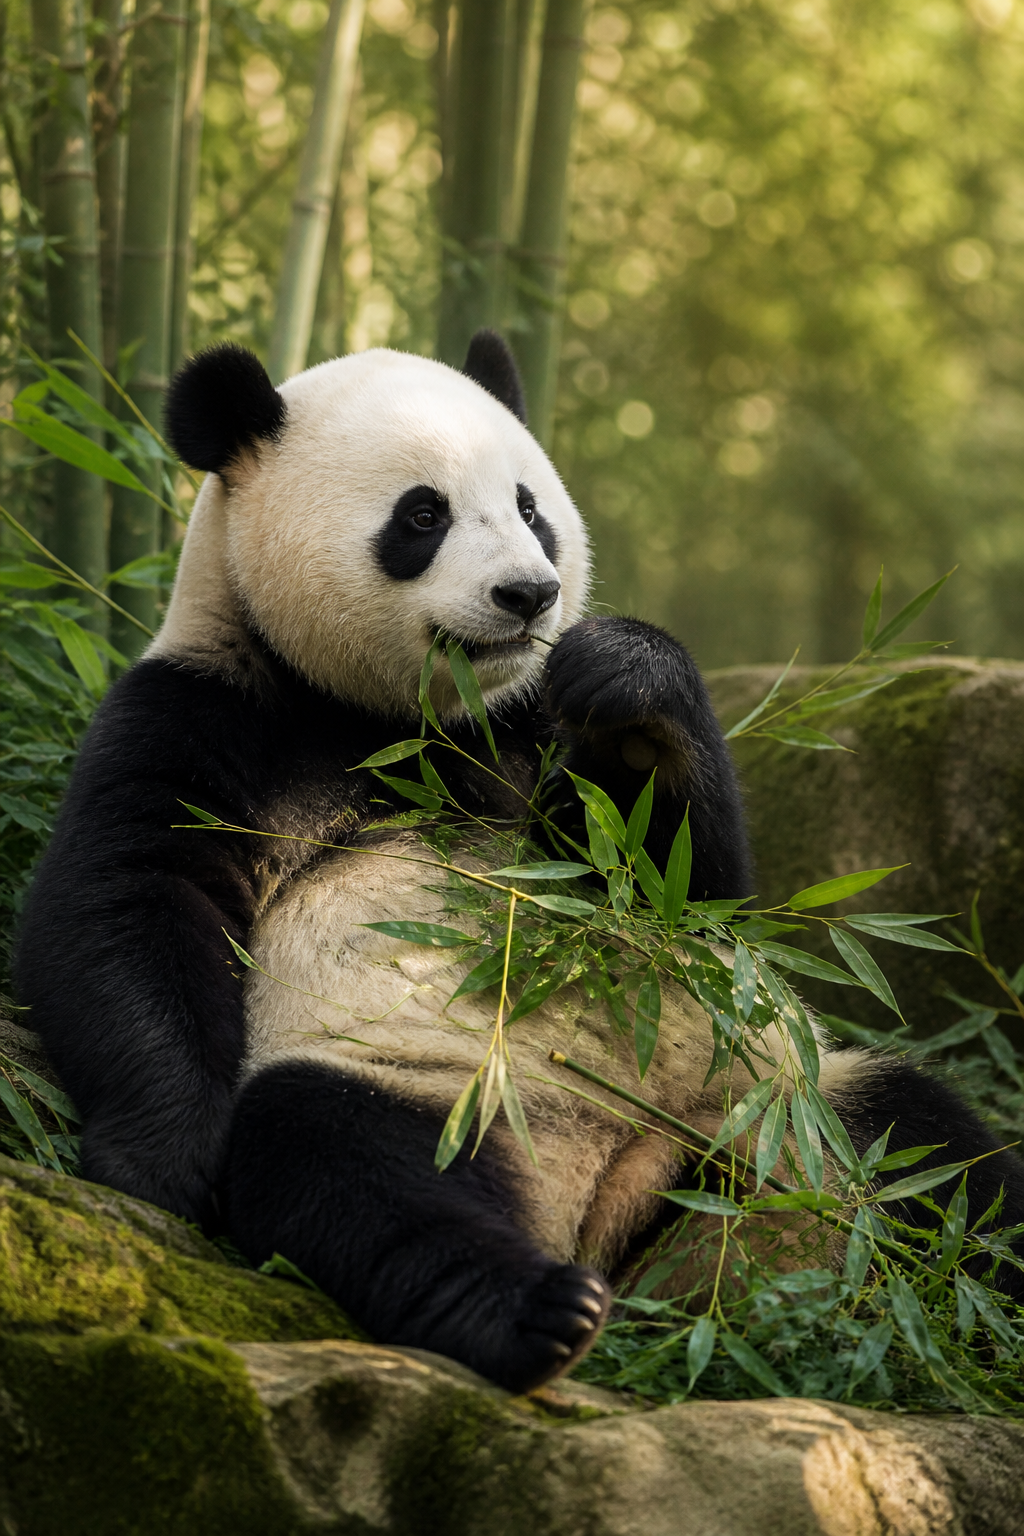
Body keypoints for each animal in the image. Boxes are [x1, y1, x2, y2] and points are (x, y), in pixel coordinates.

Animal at [14, 331, 1024, 1393]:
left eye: (531, 507)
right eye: (422, 515)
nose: (529, 594)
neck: (405, 721)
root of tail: (615, 1206)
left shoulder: (531, 730)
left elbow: (687, 894)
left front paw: (630, 681)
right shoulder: (212, 711)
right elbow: (129, 904)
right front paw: (162, 1161)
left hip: (787, 1105)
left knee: (939, 1160)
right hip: (446, 1090)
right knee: (346, 1164)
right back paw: (533, 1312)